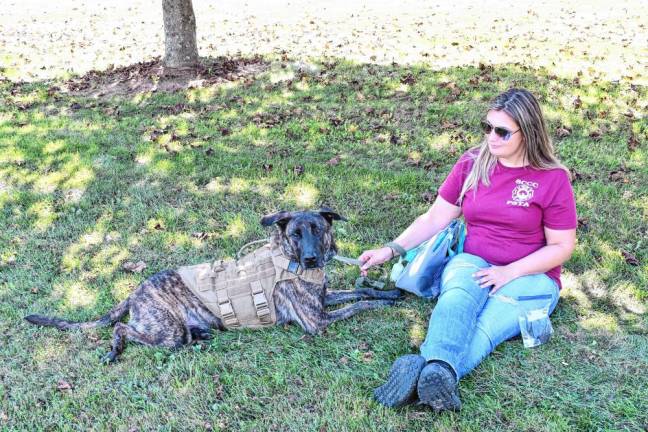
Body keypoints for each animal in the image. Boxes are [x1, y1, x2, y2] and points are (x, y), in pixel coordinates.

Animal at [25, 208, 400, 362]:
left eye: (317, 230)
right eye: (295, 233)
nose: (310, 260)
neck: (288, 260)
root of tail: (134, 293)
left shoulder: (323, 299)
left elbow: (361, 291)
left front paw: (390, 291)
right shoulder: (316, 320)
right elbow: (360, 304)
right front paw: (387, 303)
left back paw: (202, 335)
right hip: (167, 331)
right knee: (122, 329)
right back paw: (115, 349)